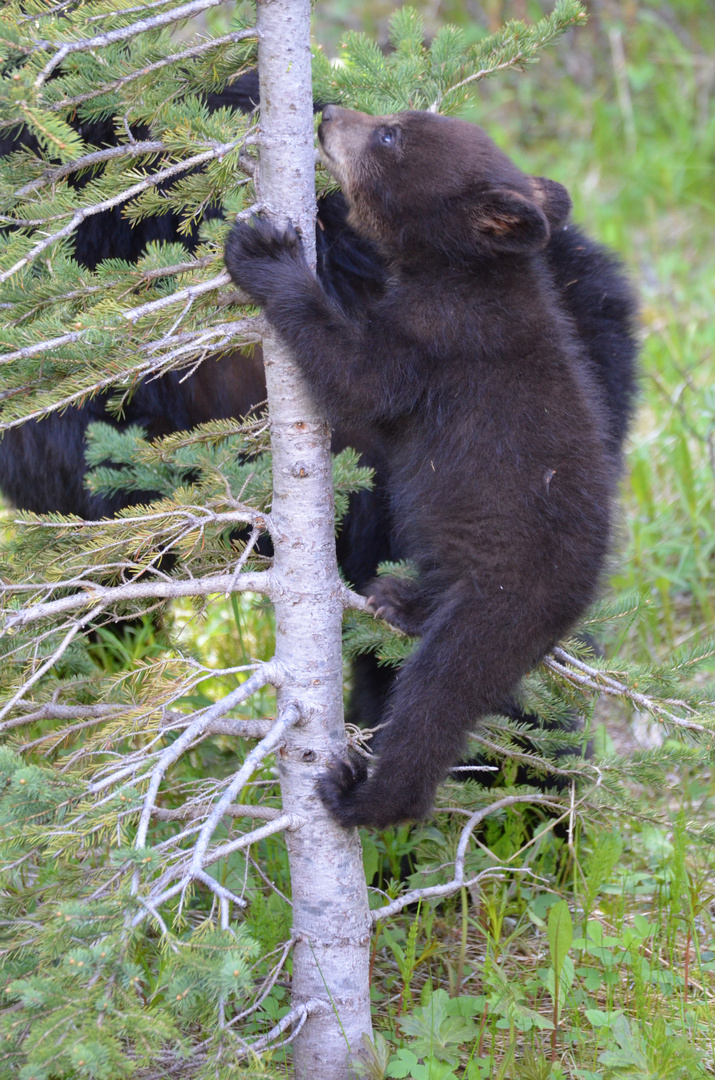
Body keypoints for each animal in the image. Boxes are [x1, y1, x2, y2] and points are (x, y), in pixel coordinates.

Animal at [224, 105, 639, 825]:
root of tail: (574, 602)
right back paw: (399, 597)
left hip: (496, 605)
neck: (470, 276)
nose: (327, 112)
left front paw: (267, 255)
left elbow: (359, 378)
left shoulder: (437, 337)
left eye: (390, 134)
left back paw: (361, 795)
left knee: (433, 703)